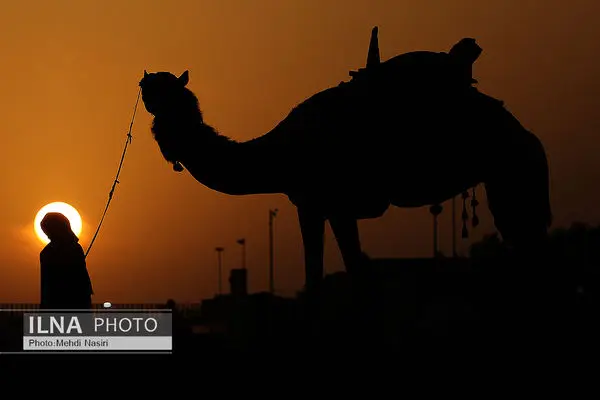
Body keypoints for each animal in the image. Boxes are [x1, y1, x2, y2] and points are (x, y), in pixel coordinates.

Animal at [138, 31, 552, 296]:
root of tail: (524, 132)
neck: (278, 153)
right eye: (150, 86)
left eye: (166, 87)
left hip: (512, 168)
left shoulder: (321, 202)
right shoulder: (324, 206)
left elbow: (328, 279)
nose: (146, 82)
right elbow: (344, 273)